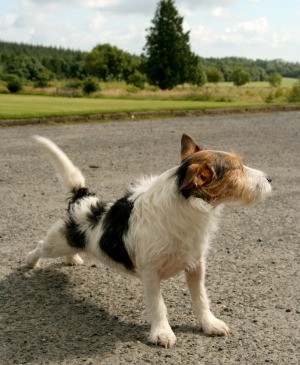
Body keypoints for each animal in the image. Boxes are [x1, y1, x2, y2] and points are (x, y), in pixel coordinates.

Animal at [25, 133, 272, 346]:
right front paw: (162, 333)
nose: (270, 178)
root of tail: (83, 199)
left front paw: (209, 324)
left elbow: (201, 298)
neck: (186, 208)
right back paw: (30, 262)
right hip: (56, 243)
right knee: (40, 246)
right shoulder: (150, 272)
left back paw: (72, 258)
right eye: (237, 168)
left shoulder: (196, 266)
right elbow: (158, 305)